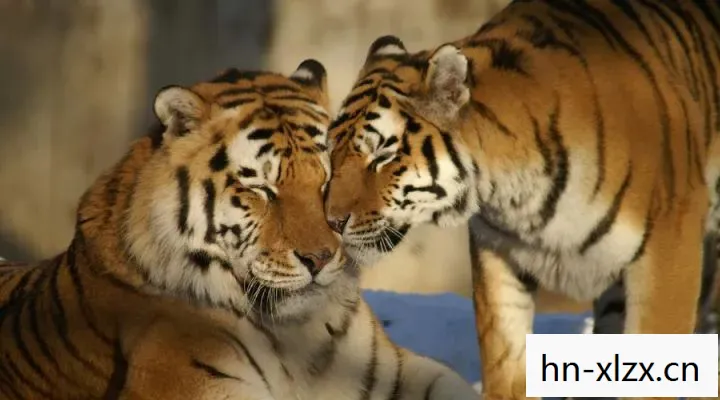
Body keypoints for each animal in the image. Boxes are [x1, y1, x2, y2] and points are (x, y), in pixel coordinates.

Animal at [322, 1, 720, 399]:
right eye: (332, 152)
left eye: (382, 156)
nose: (332, 222)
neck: (511, 191)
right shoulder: (498, 254)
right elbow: (506, 359)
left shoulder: (668, 249)